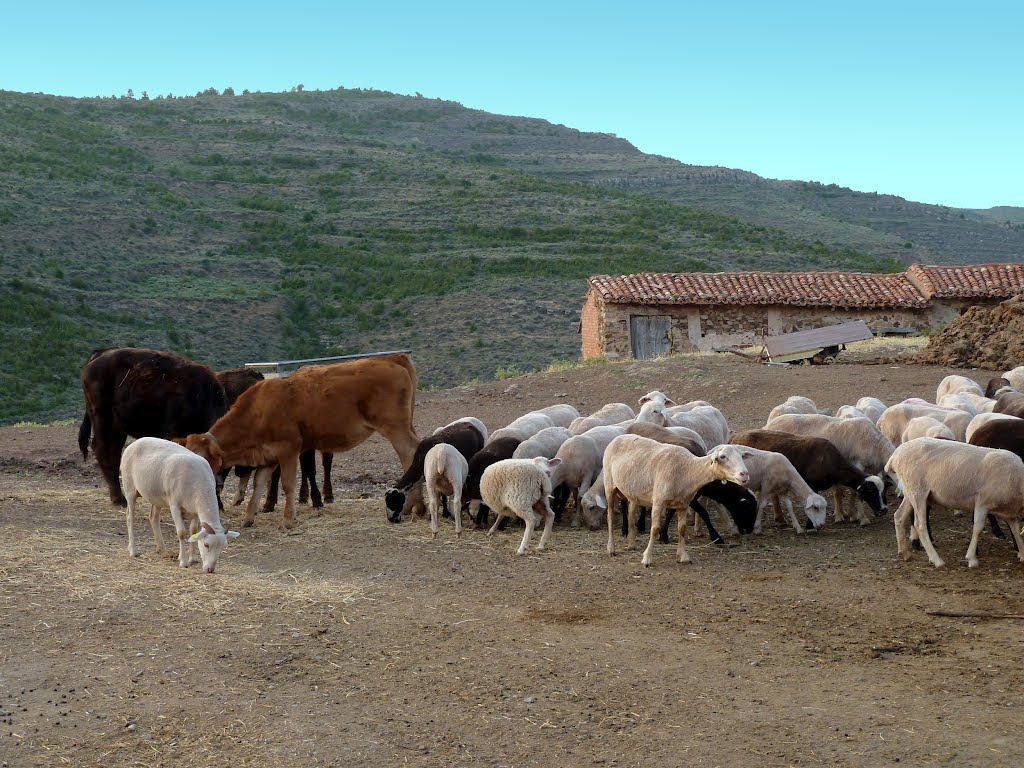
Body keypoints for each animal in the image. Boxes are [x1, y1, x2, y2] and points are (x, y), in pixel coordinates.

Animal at [119, 436, 239, 573]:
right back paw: (133, 550)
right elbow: (181, 532)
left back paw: (162, 549)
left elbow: (193, 531)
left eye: (223, 546)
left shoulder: (195, 510)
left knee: (153, 517)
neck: (200, 486)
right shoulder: (174, 505)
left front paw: (192, 558)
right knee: (130, 516)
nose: (210, 570)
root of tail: (134, 443)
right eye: (206, 544)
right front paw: (184, 562)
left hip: (157, 496)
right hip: (129, 487)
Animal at [186, 356, 417, 528]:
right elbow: (259, 484)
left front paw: (288, 519)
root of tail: (393, 358)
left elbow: (288, 484)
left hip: (395, 428)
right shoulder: (268, 455)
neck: (259, 410)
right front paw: (249, 517)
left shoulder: (288, 450)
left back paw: (410, 507)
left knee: (410, 454)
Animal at [598, 436, 753, 569]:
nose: (744, 474)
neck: (688, 470)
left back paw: (631, 544)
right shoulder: (658, 501)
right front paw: (647, 558)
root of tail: (618, 438)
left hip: (633, 491)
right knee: (610, 516)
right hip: (609, 485)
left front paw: (682, 556)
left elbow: (681, 529)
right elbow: (655, 529)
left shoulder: (684, 504)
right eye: (723, 457)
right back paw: (611, 549)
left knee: (631, 514)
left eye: (741, 456)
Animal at [884, 436, 1024, 569]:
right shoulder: (982, 502)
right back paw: (937, 560)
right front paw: (971, 558)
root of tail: (895, 455)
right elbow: (978, 528)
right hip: (918, 491)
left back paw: (905, 553)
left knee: (899, 516)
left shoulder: (1010, 513)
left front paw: (1022, 554)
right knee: (920, 525)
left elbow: (1016, 530)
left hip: (909, 491)